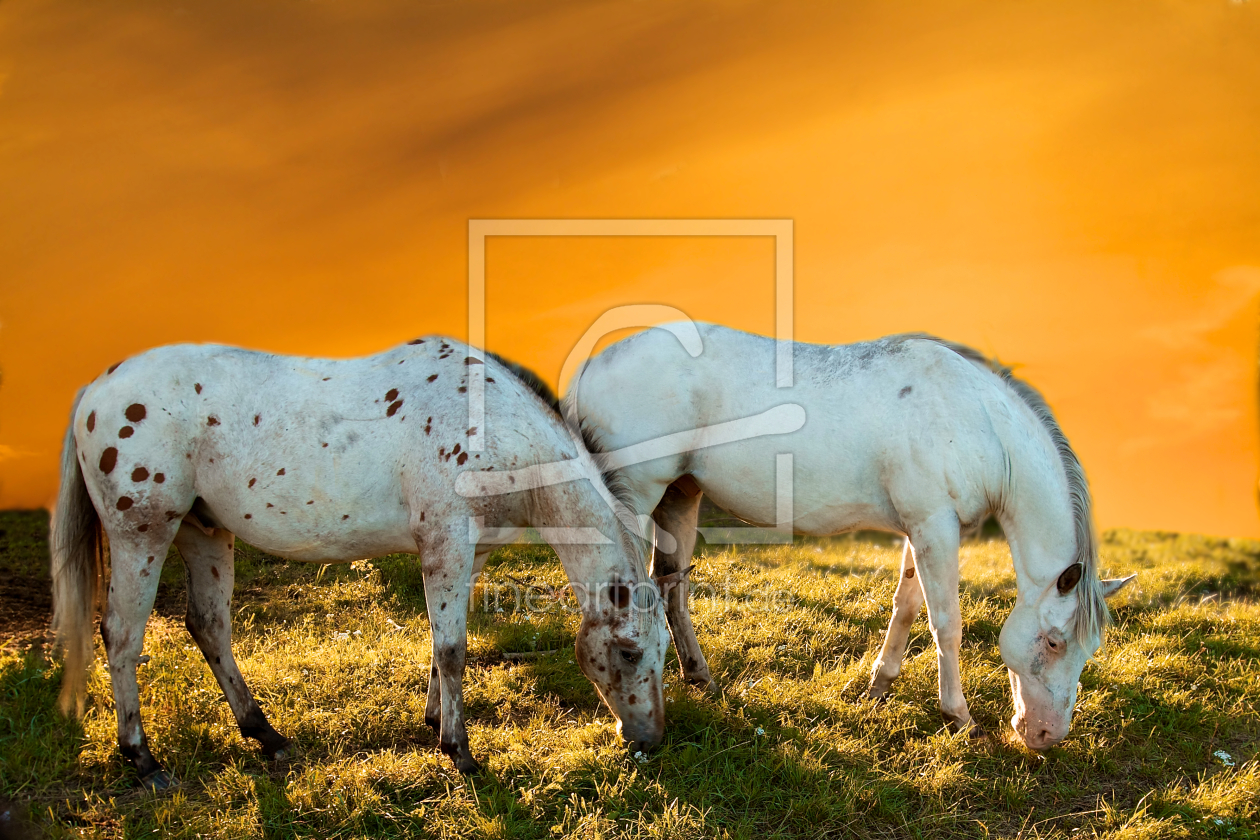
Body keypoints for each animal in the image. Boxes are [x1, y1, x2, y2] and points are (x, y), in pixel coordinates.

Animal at [51, 337, 670, 790]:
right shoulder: (445, 541)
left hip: (204, 534)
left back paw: (266, 734)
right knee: (122, 635)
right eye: (629, 650)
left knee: (208, 626)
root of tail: (94, 389)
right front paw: (460, 753)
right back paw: (143, 760)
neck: (491, 422)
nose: (650, 739)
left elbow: (440, 643)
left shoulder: (467, 552)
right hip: (143, 535)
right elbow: (452, 648)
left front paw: (434, 721)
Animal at [567, 322, 1139, 750]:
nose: (1047, 736)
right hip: (638, 496)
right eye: (1053, 641)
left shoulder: (923, 528)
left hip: (680, 496)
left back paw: (699, 676)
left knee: (672, 585)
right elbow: (946, 623)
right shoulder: (936, 526)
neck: (975, 419)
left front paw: (878, 685)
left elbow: (907, 605)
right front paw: (958, 715)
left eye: (1089, 648)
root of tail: (595, 362)